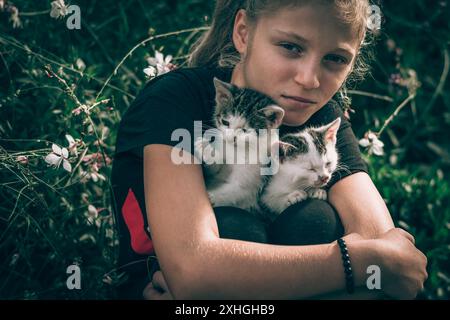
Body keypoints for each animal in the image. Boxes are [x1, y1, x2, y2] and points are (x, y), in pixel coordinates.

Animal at [194, 76, 284, 214]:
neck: (238, 149)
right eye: (225, 122)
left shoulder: (254, 181)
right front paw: (207, 151)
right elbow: (213, 172)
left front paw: (212, 197)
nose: (230, 139)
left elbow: (238, 191)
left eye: (245, 130)